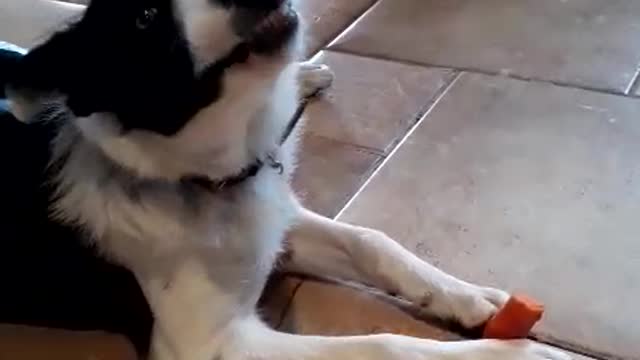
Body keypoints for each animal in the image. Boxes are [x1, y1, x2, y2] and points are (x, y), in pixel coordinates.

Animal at [0, 0, 568, 358]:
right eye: (145, 17)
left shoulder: (277, 223)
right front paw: (519, 355)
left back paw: (307, 75)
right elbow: (381, 342)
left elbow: (370, 241)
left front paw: (467, 297)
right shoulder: (210, 346)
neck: (199, 179)